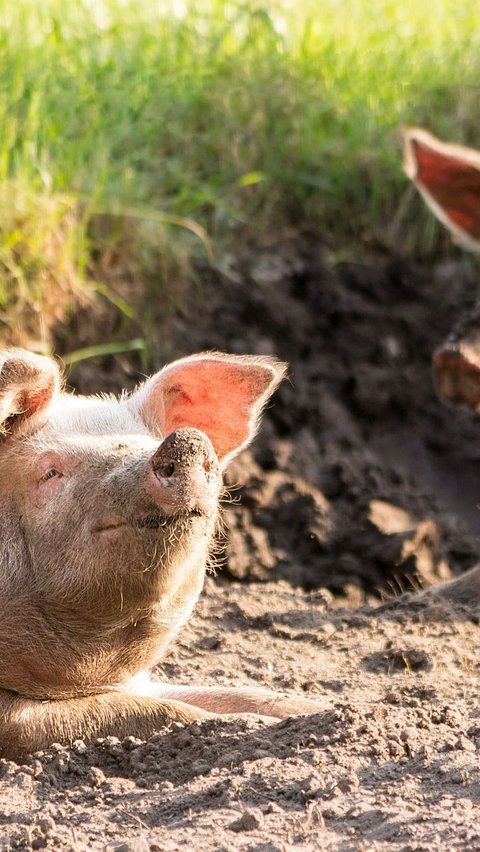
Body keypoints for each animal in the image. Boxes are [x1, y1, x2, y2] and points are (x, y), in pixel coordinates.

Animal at [0, 346, 324, 760]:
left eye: (144, 442)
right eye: (50, 472)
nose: (185, 441)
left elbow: (245, 695)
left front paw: (326, 710)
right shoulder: (15, 722)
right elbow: (151, 711)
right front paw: (254, 725)